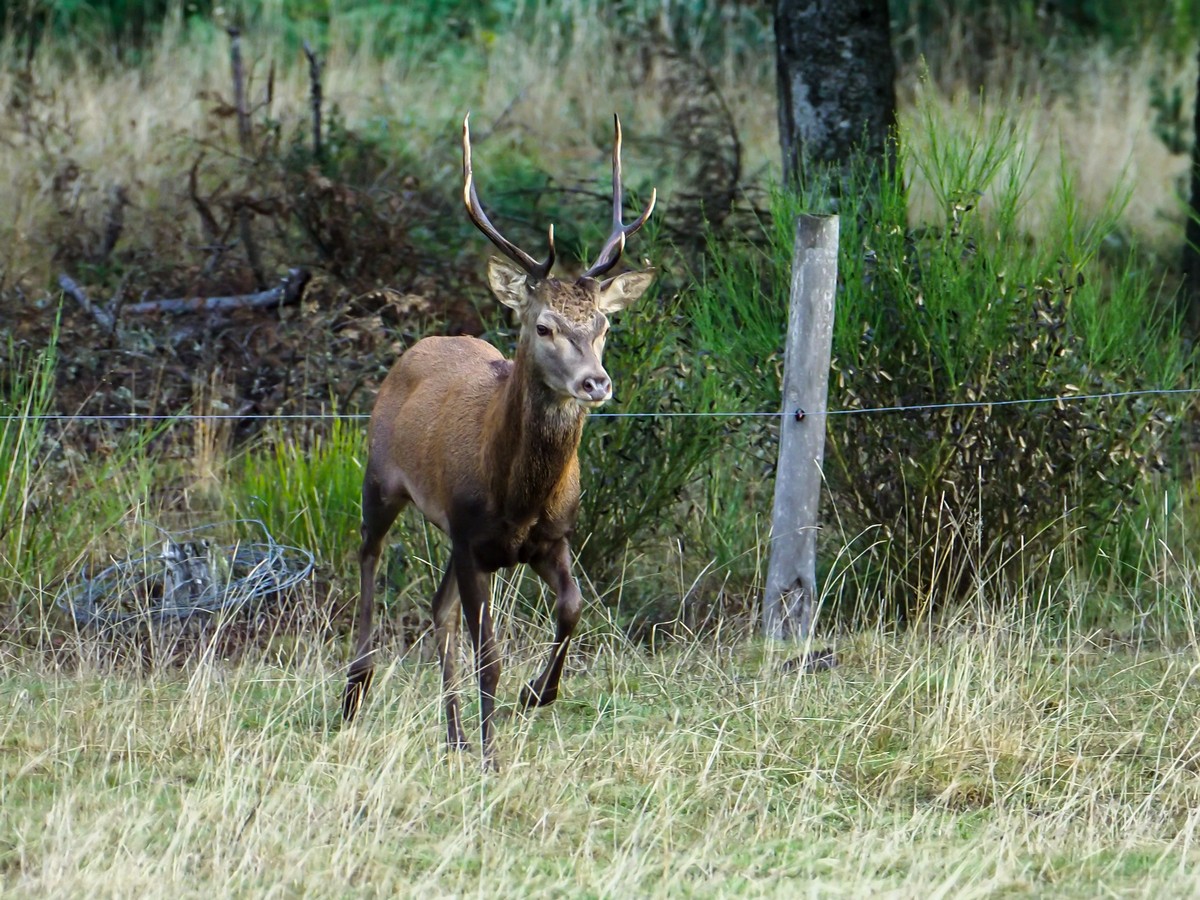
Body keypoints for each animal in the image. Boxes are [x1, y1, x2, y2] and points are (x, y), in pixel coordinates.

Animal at [342, 113, 656, 764]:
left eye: (603, 324)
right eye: (544, 326)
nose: (596, 382)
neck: (517, 496)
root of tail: (422, 343)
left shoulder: (548, 539)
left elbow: (573, 609)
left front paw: (537, 695)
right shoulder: (472, 541)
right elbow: (489, 655)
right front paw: (494, 752)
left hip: (450, 532)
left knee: (435, 610)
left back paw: (455, 735)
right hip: (381, 478)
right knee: (368, 560)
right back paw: (355, 693)